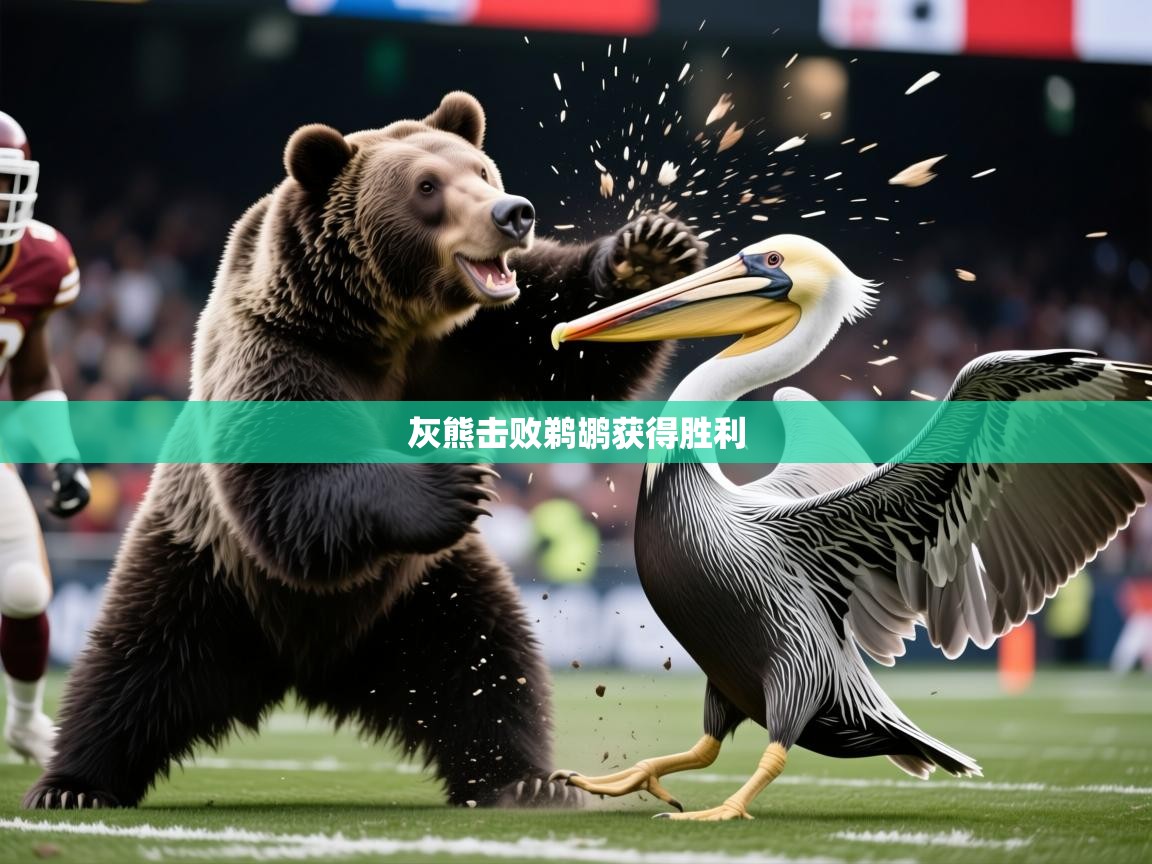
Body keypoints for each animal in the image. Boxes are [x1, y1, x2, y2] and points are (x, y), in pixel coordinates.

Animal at [25, 92, 707, 810]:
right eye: (428, 187)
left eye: (480, 171)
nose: (512, 212)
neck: (382, 326)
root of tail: (306, 665)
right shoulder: (282, 349)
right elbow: (289, 474)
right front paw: (452, 483)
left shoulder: (478, 340)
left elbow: (571, 339)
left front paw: (652, 254)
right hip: (207, 570)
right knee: (133, 663)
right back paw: (73, 784)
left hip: (422, 596)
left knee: (490, 665)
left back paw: (523, 779)